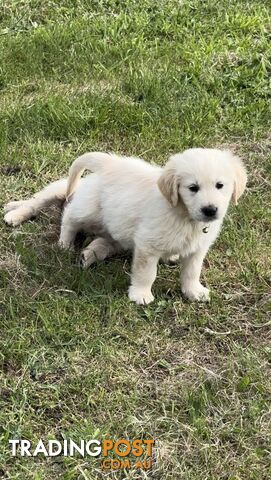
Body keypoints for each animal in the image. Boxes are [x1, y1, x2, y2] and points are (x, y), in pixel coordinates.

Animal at [4, 148, 248, 304]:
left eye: (220, 185)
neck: (184, 216)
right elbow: (146, 272)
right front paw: (140, 294)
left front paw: (193, 291)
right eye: (193, 188)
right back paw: (61, 240)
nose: (210, 210)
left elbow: (191, 272)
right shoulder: (147, 245)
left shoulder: (197, 249)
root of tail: (110, 163)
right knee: (68, 215)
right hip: (88, 209)